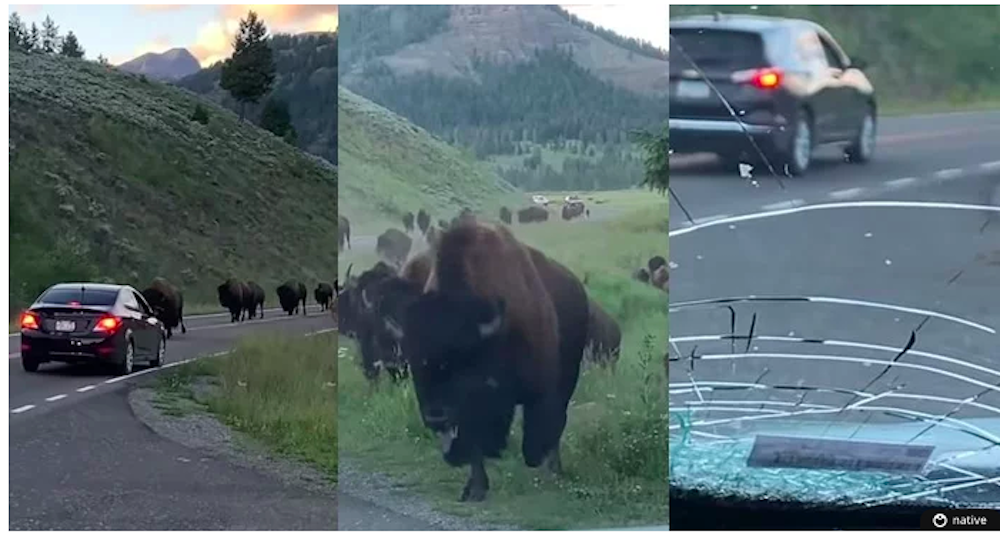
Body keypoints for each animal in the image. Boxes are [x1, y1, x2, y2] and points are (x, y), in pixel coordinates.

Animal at [380, 224, 584, 504]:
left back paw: (554, 468)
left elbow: (540, 432)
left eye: (461, 359)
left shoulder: (540, 390)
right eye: (414, 362)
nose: (435, 416)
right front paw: (475, 489)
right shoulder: (471, 412)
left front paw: (543, 467)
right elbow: (475, 444)